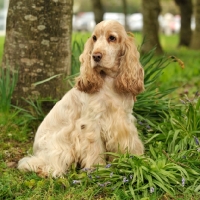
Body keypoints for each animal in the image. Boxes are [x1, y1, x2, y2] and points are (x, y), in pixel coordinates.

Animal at [18, 19, 145, 177]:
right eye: (94, 38)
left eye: (112, 38)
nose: (95, 56)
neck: (109, 81)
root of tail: (36, 149)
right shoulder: (91, 123)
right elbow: (94, 148)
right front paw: (97, 169)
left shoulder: (124, 119)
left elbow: (130, 143)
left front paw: (133, 161)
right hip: (60, 148)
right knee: (39, 164)